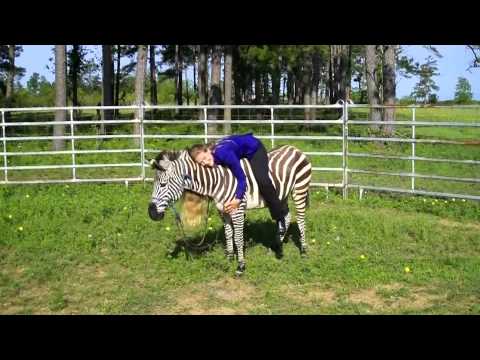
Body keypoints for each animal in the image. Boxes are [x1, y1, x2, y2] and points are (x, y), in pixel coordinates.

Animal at [147, 145, 312, 274]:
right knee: (285, 216)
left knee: (301, 220)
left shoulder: (237, 211)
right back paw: (277, 246)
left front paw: (240, 266)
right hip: (280, 195)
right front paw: (229, 258)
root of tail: (294, 148)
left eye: (163, 184)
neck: (217, 181)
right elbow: (228, 235)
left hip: (299, 190)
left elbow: (238, 238)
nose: (152, 213)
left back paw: (303, 251)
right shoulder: (223, 212)